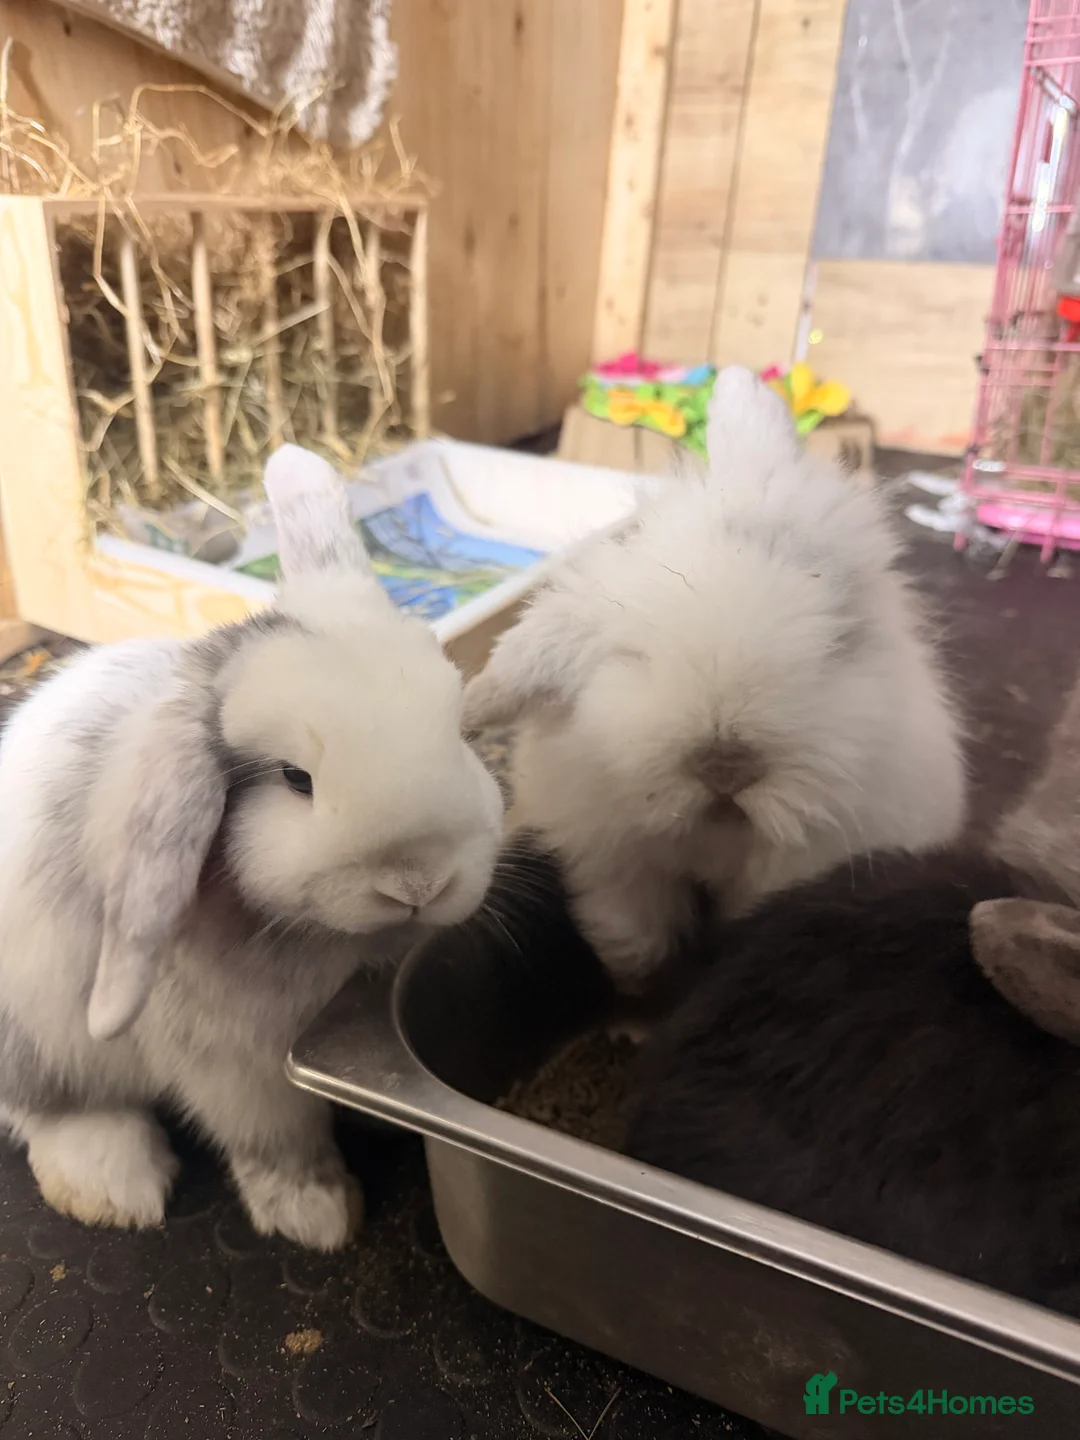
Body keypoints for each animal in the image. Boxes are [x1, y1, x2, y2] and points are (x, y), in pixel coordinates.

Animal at [0, 445, 504, 1250]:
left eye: (458, 731)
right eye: (295, 779)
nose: (419, 883)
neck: (334, 940)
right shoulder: (237, 1068)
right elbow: (278, 1141)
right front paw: (319, 1215)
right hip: (38, 1033)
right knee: (50, 1110)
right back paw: (114, 1185)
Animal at [464, 365, 964, 992]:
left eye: (840, 642)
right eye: (637, 653)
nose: (726, 766)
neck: (715, 836)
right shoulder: (619, 863)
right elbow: (629, 930)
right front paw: (636, 984)